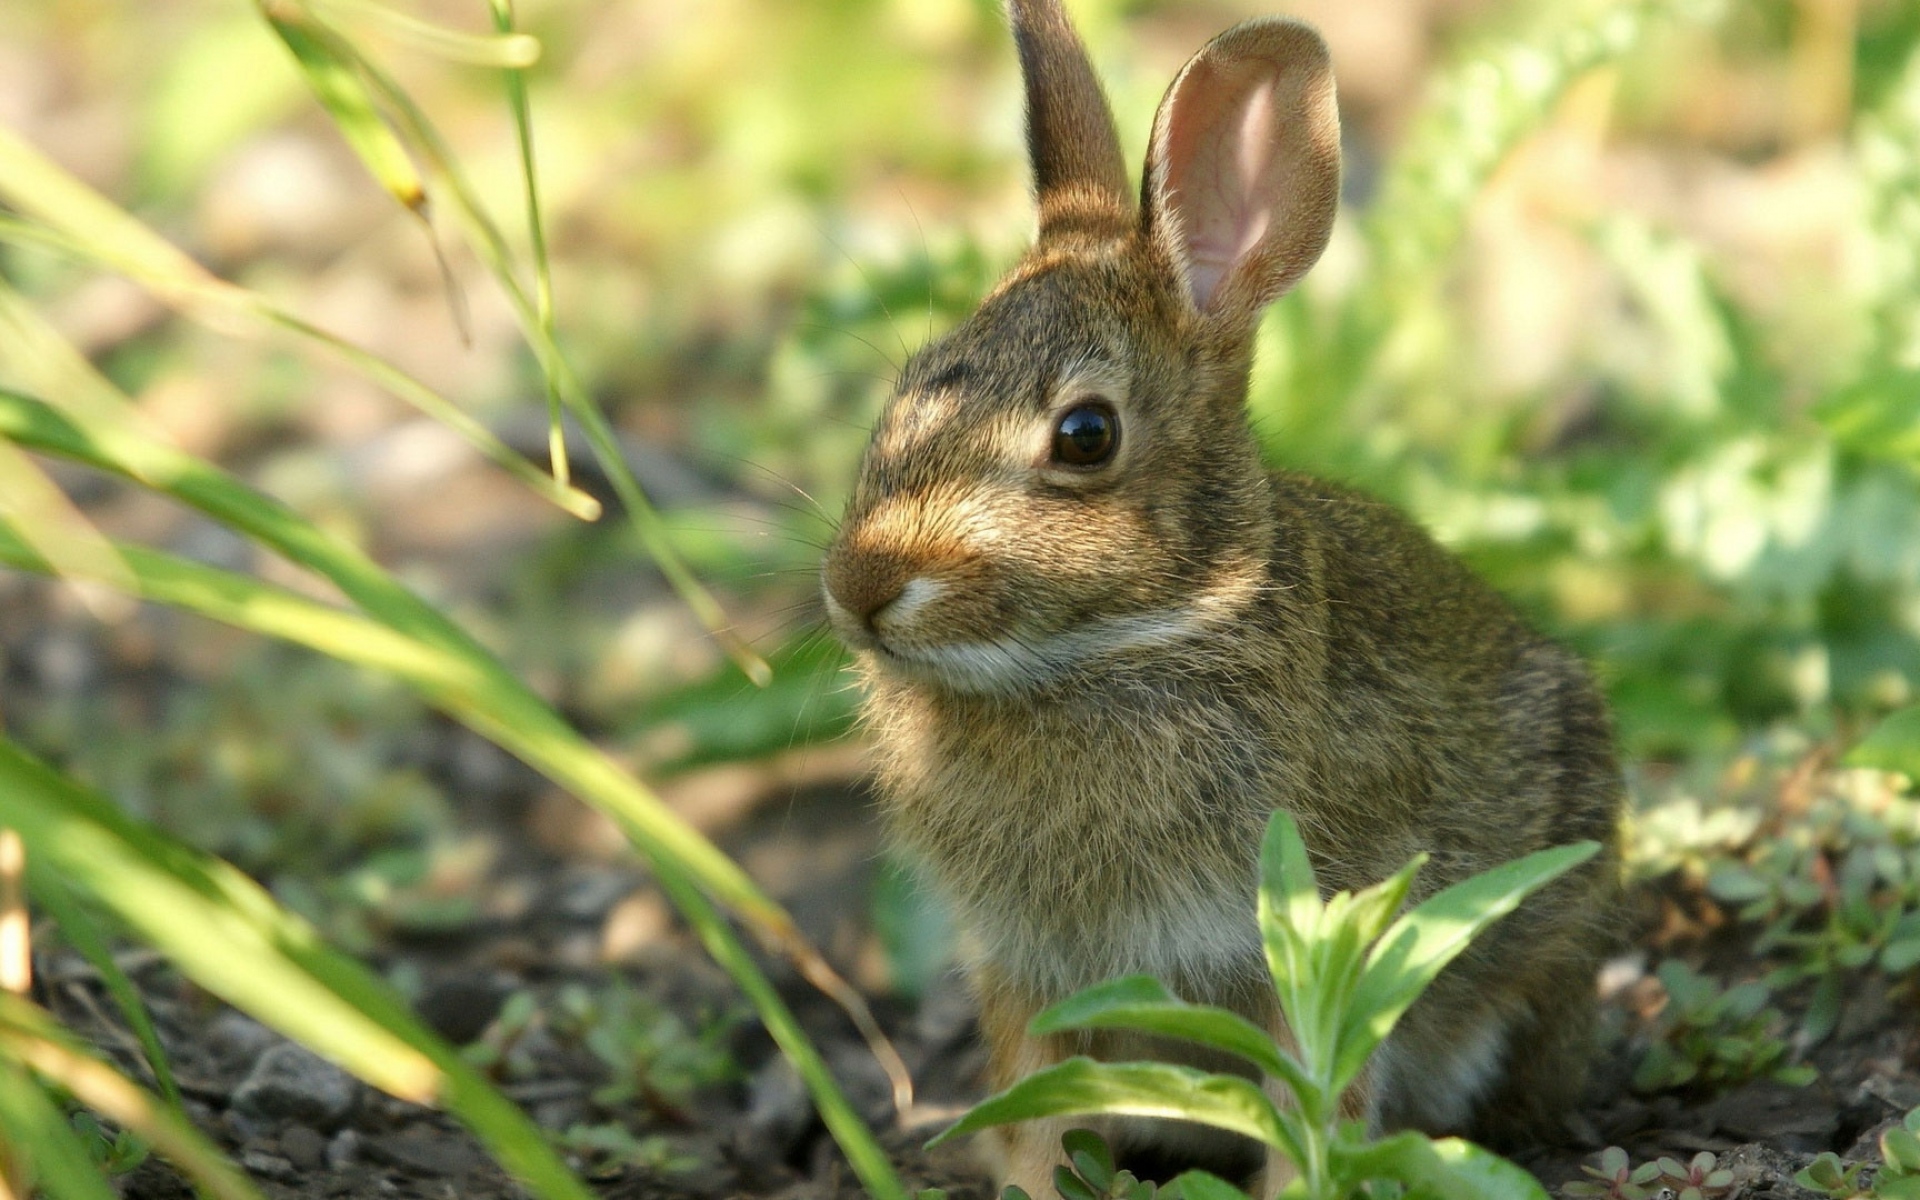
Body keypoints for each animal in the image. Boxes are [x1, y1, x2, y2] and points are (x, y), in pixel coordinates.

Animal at [819, 0, 1623, 1193]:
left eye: (1085, 436)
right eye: (909, 384)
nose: (858, 587)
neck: (1123, 644)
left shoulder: (1310, 932)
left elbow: (1314, 1100)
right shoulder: (1027, 970)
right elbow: (1038, 1106)